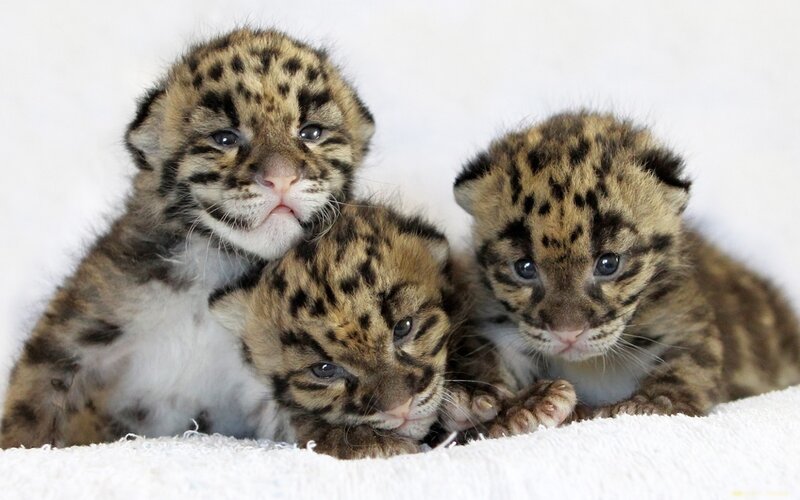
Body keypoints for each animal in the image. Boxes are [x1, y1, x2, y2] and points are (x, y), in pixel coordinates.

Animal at [0, 27, 374, 448]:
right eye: (225, 138)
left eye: (311, 133)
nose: (281, 177)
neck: (215, 265)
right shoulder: (75, 329)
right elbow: (32, 401)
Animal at [453, 110, 800, 422]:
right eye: (524, 268)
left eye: (608, 263)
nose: (568, 334)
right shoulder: (496, 327)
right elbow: (489, 361)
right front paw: (518, 405)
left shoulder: (683, 317)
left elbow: (689, 362)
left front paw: (651, 403)